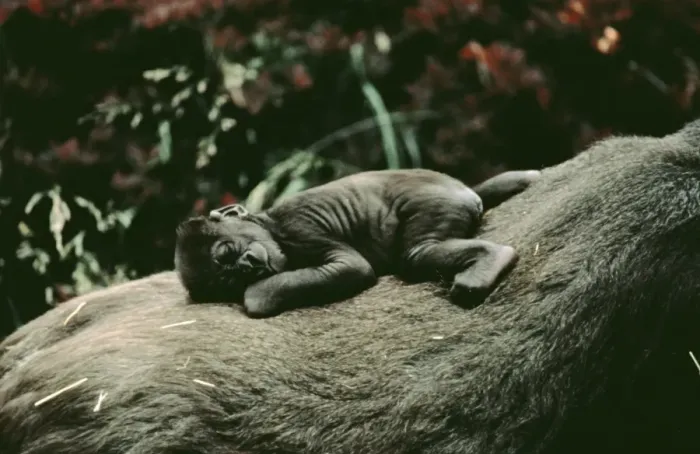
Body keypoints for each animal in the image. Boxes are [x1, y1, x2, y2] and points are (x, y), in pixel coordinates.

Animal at [174, 168, 542, 317]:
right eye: (228, 279)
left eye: (229, 252)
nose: (247, 266)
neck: (270, 224)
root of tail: (466, 191)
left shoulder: (299, 229)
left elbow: (353, 268)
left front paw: (259, 293)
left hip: (438, 202)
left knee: (417, 254)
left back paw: (492, 258)